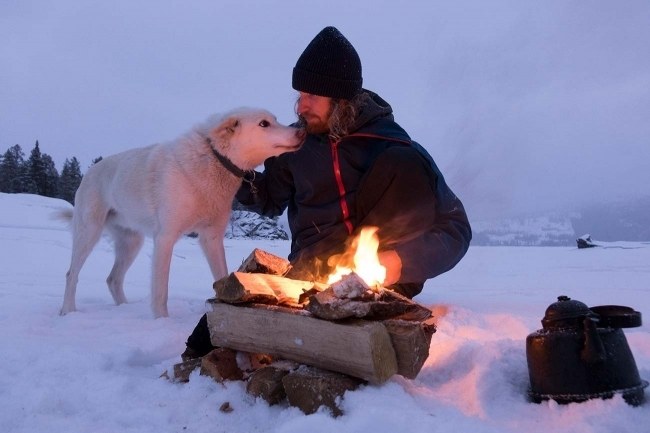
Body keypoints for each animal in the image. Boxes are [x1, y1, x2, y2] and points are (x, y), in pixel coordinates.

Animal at [60, 108, 304, 318]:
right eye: (264, 124)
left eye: (275, 120)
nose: (302, 131)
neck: (214, 159)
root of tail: (90, 171)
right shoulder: (165, 238)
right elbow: (161, 292)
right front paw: (161, 322)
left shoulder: (211, 238)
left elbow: (222, 275)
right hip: (89, 233)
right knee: (72, 274)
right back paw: (67, 311)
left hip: (131, 243)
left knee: (113, 279)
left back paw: (123, 309)